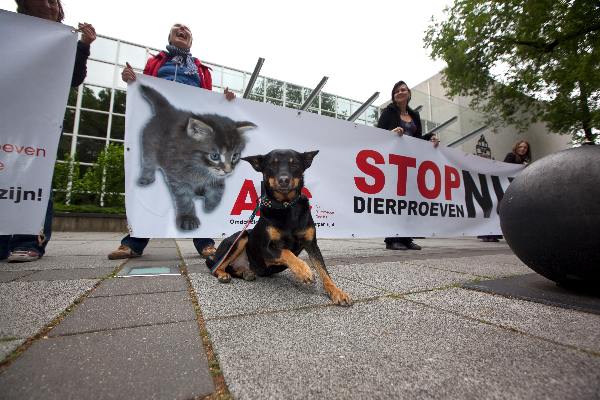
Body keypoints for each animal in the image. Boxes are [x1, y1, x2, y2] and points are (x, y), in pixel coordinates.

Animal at [137, 86, 256, 231]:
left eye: (235, 156)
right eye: (215, 156)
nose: (228, 171)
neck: (199, 166)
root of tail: (168, 111)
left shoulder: (217, 177)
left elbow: (218, 190)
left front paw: (210, 206)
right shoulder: (177, 175)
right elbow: (184, 197)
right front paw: (188, 218)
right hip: (149, 148)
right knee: (148, 163)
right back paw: (146, 178)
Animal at [206, 149, 352, 306]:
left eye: (294, 163)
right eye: (272, 165)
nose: (283, 180)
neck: (286, 206)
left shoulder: (312, 244)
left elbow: (324, 271)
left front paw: (337, 292)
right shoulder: (265, 250)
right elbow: (286, 252)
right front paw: (304, 271)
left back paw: (246, 273)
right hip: (241, 237)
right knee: (216, 267)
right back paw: (223, 275)